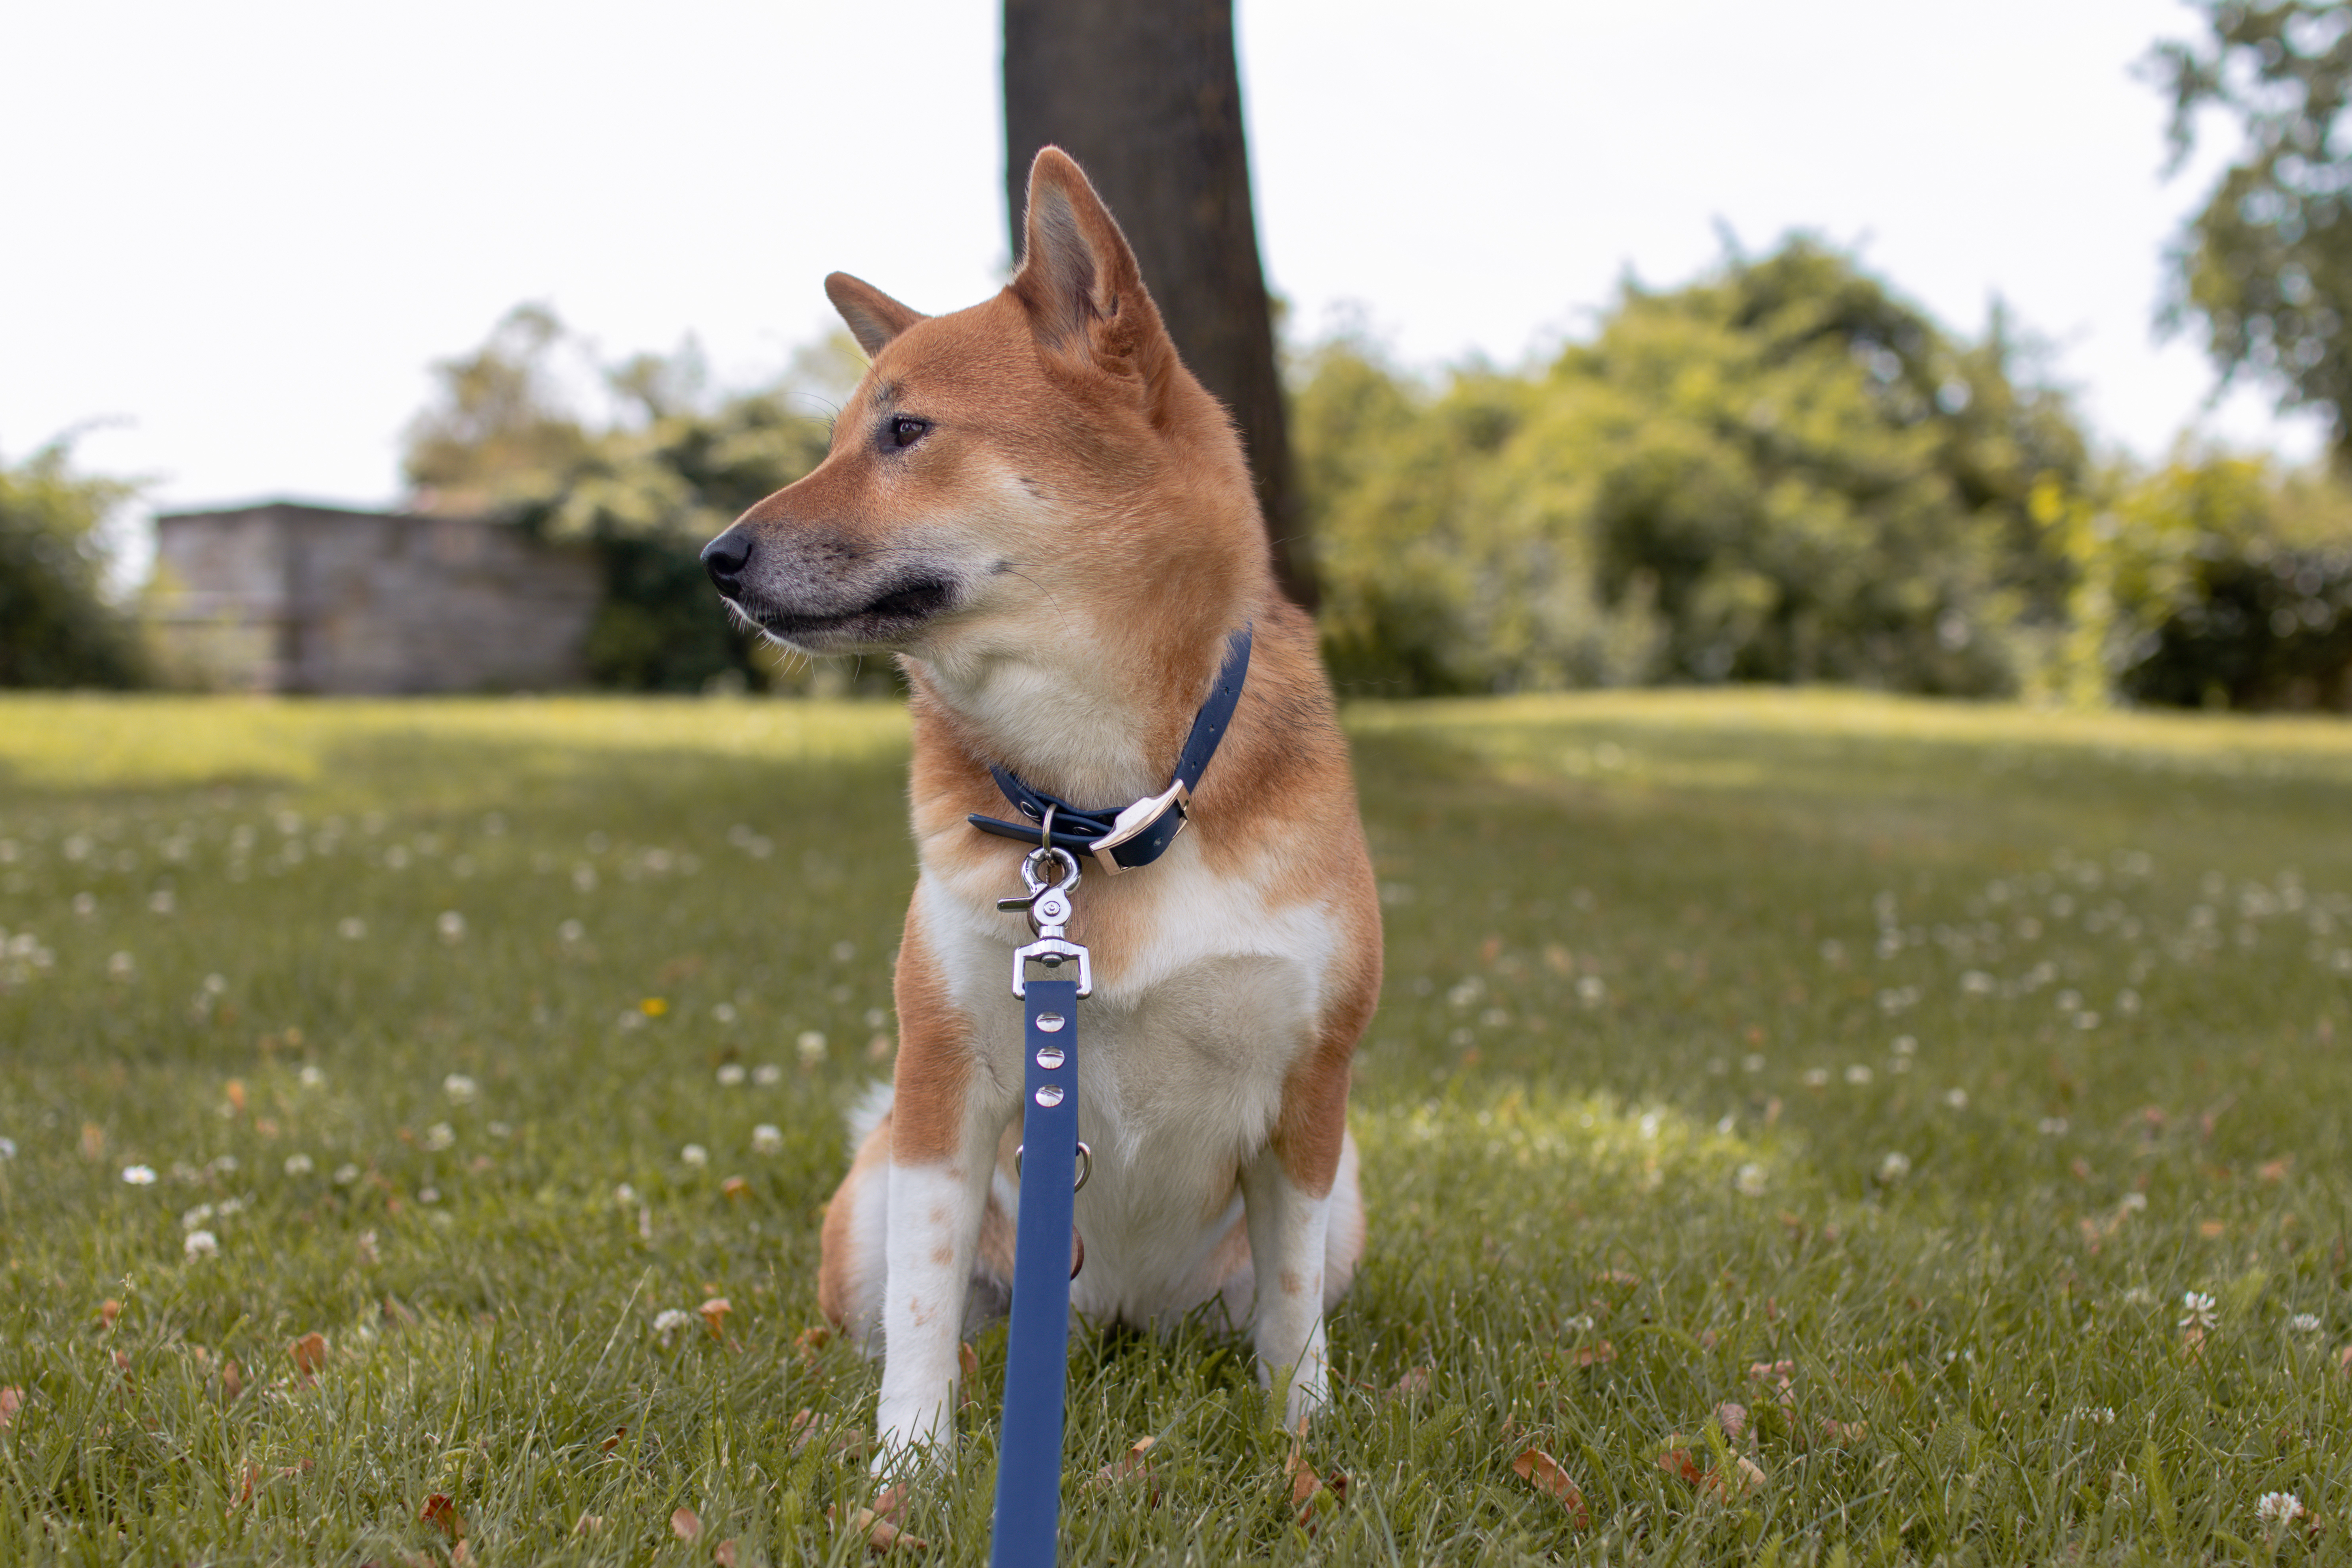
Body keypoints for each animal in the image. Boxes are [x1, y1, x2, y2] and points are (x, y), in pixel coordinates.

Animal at [706, 147, 1383, 1457]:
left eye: (906, 431)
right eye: (838, 438)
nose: (714, 557)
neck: (1101, 811)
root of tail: (1109, 1321)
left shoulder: (1307, 1095)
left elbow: (1290, 1318)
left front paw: (1300, 1449)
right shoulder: (944, 1082)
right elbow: (921, 1319)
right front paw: (908, 1465)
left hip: (1347, 1204)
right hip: (872, 1203)